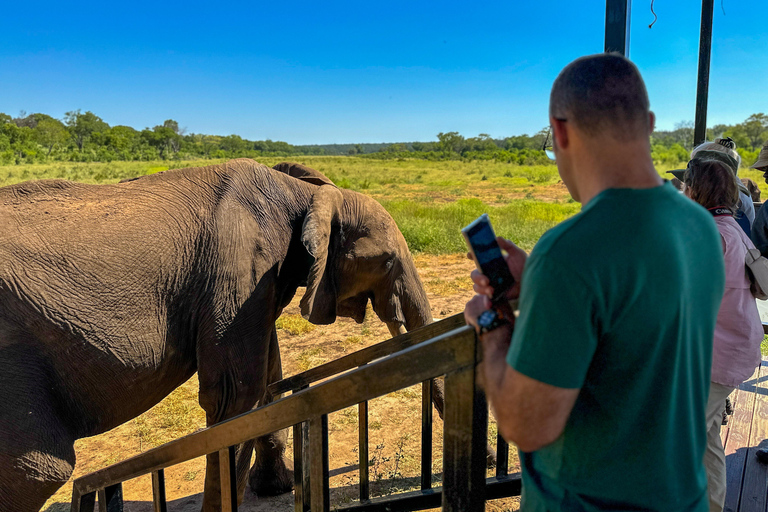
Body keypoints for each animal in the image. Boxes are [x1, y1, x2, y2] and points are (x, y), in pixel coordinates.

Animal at [0, 158, 438, 510]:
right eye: (386, 262)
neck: (305, 194)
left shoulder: (257, 282)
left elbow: (267, 378)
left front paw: (274, 487)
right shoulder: (237, 267)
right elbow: (235, 395)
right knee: (36, 471)